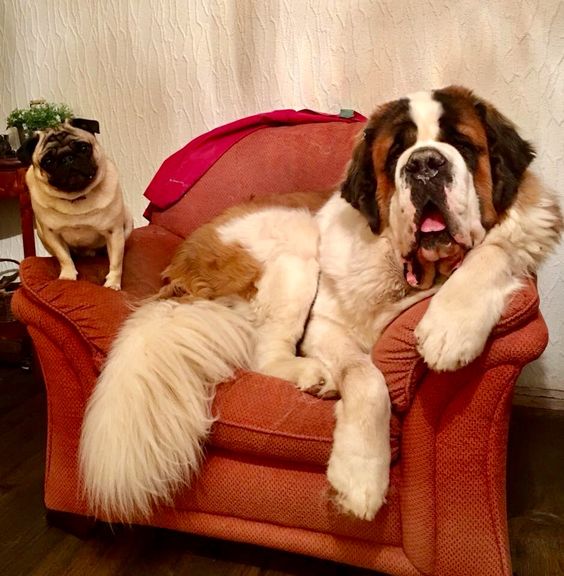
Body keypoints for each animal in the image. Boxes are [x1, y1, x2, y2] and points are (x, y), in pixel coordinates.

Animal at [16, 117, 133, 290]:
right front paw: (68, 276)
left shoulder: (114, 232)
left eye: (84, 148)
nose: (67, 158)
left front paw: (113, 284)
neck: (76, 197)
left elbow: (116, 263)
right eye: (48, 161)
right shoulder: (52, 234)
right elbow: (64, 258)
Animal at [79, 85, 560, 520]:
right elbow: (366, 378)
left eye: (461, 144)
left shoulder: (522, 232)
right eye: (396, 155)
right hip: (297, 243)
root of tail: (180, 269)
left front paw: (450, 329)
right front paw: (360, 479)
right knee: (263, 354)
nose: (424, 163)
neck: (406, 270)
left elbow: (492, 252)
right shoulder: (324, 324)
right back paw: (315, 375)